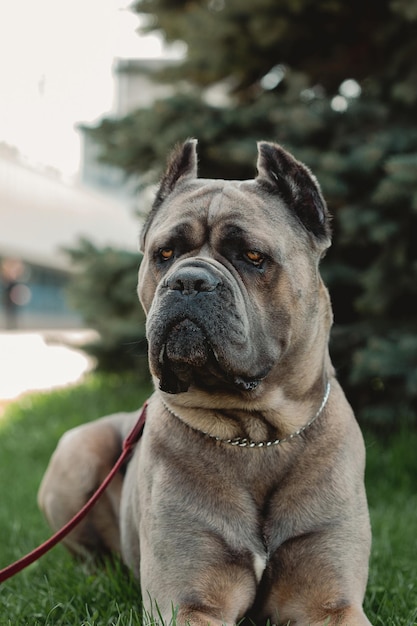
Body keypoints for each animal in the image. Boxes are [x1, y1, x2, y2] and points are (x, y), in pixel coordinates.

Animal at [38, 141, 370, 624]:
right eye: (164, 253)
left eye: (252, 256)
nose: (189, 281)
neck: (255, 435)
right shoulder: (188, 602)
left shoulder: (330, 602)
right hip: (78, 451)